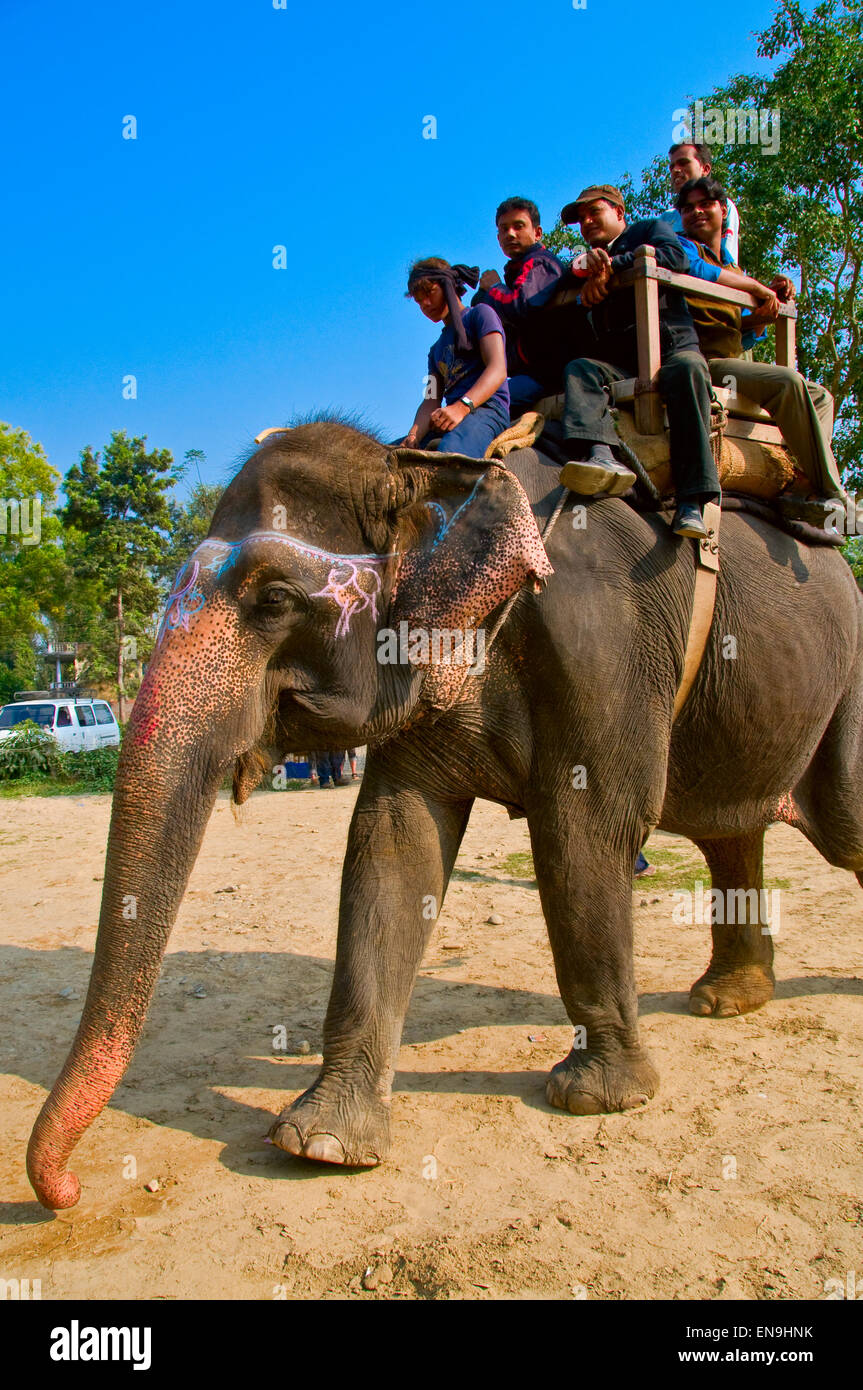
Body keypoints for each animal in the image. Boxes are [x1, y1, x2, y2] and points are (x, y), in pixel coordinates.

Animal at [26, 417, 861, 1212]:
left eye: (274, 600)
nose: (67, 1191)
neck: (419, 463)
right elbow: (393, 842)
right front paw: (322, 1144)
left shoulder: (604, 643)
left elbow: (587, 828)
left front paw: (594, 1098)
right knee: (730, 832)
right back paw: (725, 1000)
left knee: (842, 827)